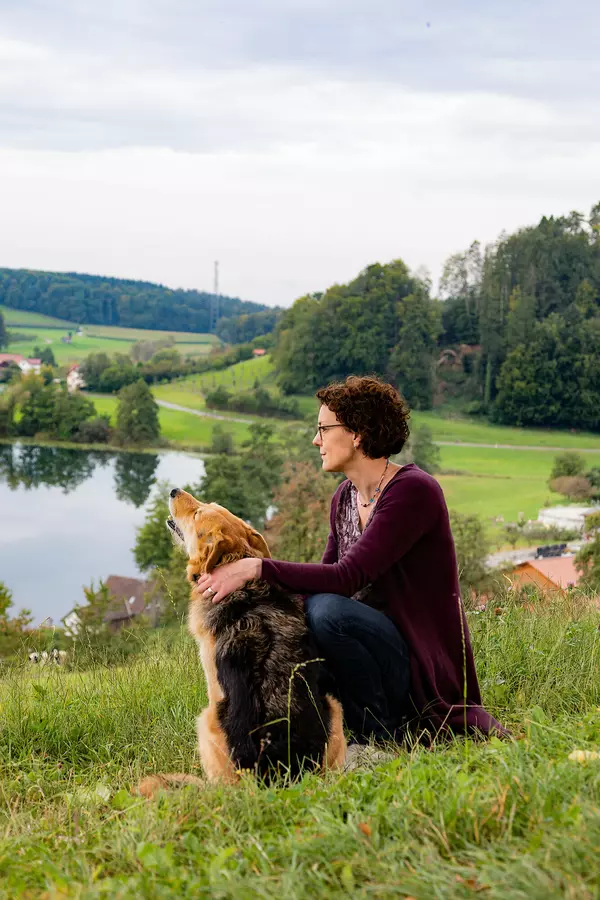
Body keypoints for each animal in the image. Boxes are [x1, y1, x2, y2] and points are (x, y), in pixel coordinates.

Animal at [138, 488, 345, 797]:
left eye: (197, 514)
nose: (174, 490)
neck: (244, 586)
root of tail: (280, 774)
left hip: (206, 721)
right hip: (333, 708)